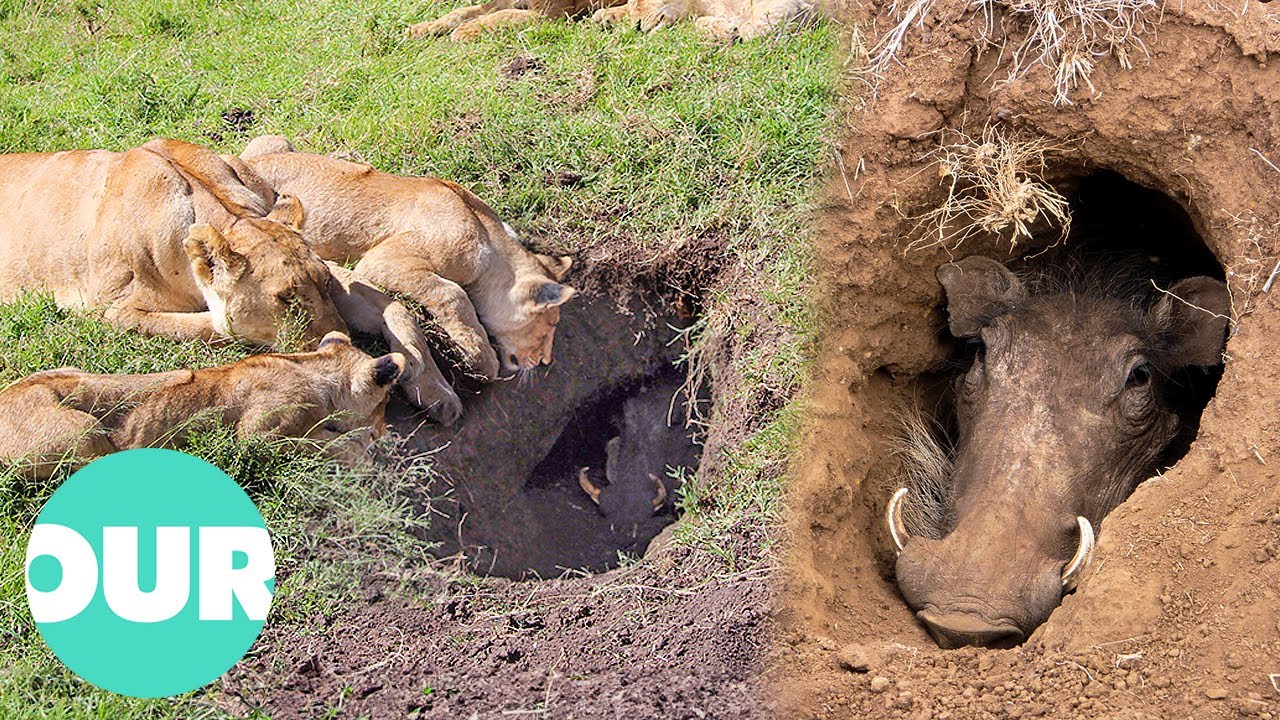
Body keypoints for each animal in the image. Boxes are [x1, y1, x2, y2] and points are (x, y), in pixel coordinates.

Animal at [0, 332, 405, 480]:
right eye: (386, 402)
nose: (383, 428)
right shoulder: (255, 437)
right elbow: (312, 444)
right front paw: (360, 449)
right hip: (83, 433)